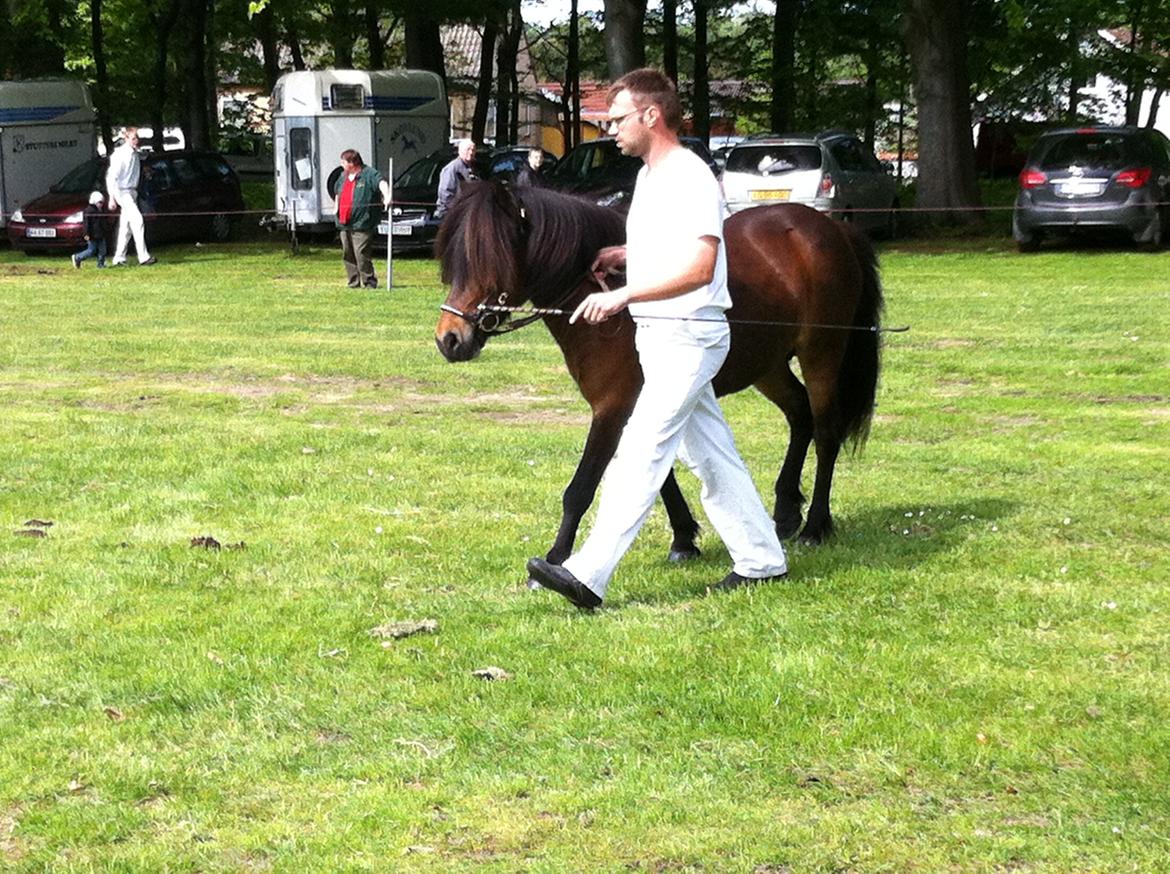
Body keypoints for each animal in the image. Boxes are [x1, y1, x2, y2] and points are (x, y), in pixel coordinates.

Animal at [435, 182, 879, 568]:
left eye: (490, 258)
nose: (449, 339)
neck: (612, 301)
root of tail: (831, 228)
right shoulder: (644, 401)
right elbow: (658, 474)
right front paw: (684, 539)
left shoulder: (611, 407)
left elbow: (581, 488)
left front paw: (554, 559)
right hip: (768, 366)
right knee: (800, 414)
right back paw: (786, 513)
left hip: (821, 354)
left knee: (826, 432)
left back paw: (815, 527)